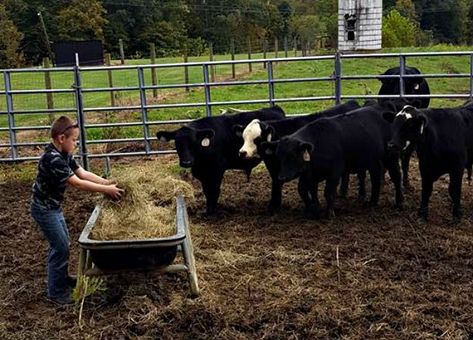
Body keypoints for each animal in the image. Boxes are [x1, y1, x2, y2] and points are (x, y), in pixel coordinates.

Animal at [157, 106, 286, 215]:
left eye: (194, 142)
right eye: (177, 143)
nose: (186, 162)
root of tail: (274, 108)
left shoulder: (217, 170)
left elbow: (213, 190)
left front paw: (211, 212)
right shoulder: (203, 173)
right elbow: (207, 191)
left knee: (276, 180)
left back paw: (273, 206)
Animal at [262, 103, 402, 218]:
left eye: (292, 155)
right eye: (278, 156)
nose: (281, 177)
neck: (319, 143)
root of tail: (381, 107)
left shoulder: (334, 172)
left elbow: (328, 192)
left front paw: (330, 213)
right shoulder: (309, 174)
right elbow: (304, 190)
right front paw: (313, 209)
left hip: (391, 156)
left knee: (396, 176)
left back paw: (399, 202)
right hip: (372, 161)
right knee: (376, 178)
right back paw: (373, 202)